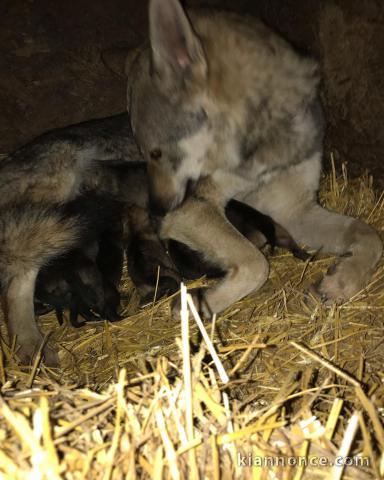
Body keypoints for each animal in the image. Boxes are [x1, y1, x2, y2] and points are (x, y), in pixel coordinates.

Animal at [126, 0, 380, 316]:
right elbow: (257, 265)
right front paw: (202, 302)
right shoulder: (192, 208)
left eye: (156, 153)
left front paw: (341, 282)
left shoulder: (295, 211)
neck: (264, 151)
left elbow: (370, 235)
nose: (157, 211)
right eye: (145, 153)